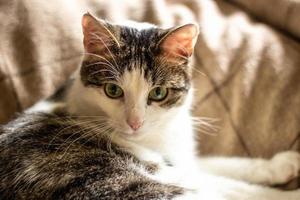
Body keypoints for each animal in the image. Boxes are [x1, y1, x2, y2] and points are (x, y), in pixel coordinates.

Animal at [0, 13, 300, 199]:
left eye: (158, 93)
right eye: (112, 90)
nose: (135, 123)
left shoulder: (179, 157)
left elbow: (222, 164)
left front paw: (281, 164)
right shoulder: (173, 172)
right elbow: (235, 188)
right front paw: (288, 191)